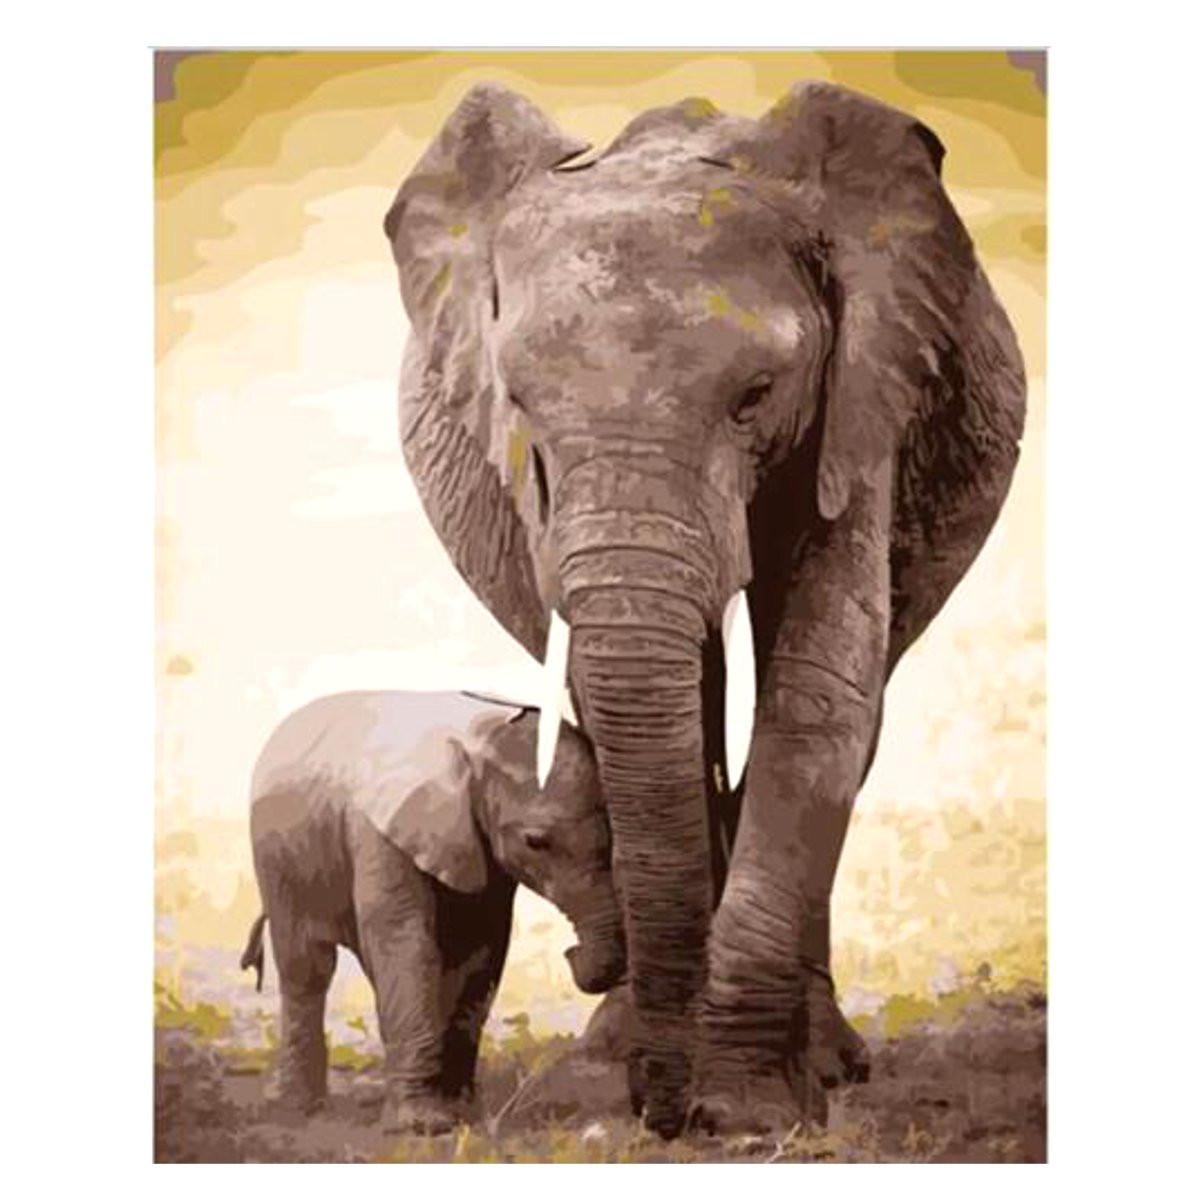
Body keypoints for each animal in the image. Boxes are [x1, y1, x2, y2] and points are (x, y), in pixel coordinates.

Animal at [240, 690, 625, 1134]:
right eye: (535, 842)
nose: (571, 952)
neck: (477, 744)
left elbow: (481, 949)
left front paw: (460, 1113)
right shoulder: (381, 834)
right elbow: (406, 941)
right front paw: (422, 1126)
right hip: (274, 856)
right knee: (307, 966)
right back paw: (296, 1107)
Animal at [382, 81, 1026, 1137]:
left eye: (755, 396)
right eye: (519, 403)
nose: (663, 1110)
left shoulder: (863, 402)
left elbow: (817, 696)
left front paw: (747, 1110)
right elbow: (623, 701)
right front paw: (665, 1081)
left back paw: (826, 1060)